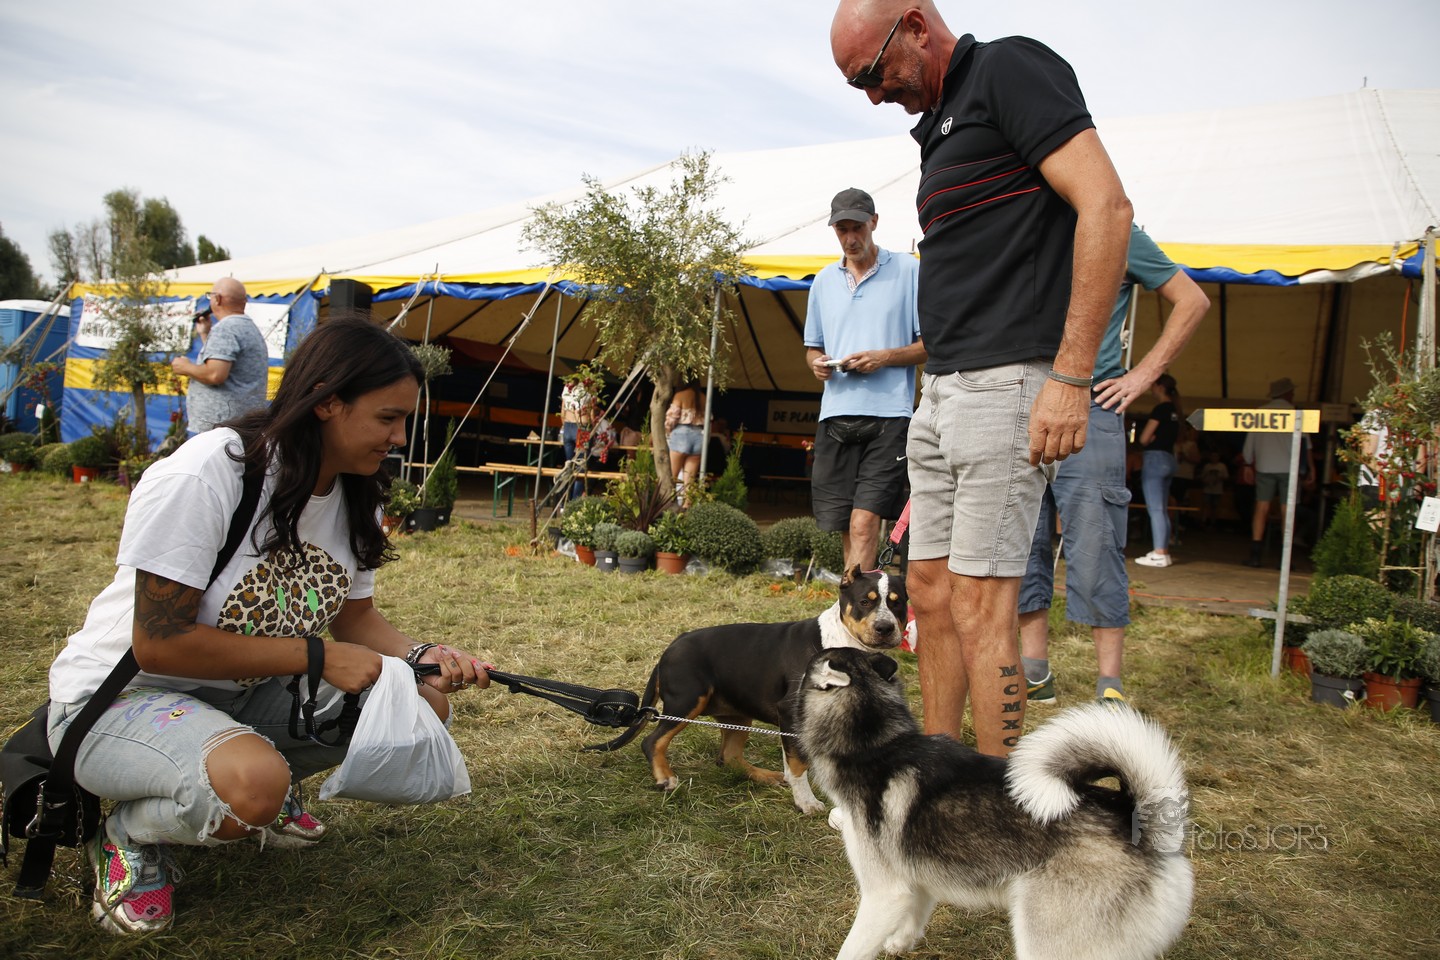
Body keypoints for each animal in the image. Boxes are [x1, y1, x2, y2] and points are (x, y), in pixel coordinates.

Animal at [592, 566, 906, 813]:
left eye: (898, 603)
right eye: (865, 601)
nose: (885, 628)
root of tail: (669, 649)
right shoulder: (789, 712)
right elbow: (798, 763)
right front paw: (806, 802)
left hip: (738, 715)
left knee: (728, 757)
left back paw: (766, 776)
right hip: (687, 701)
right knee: (653, 741)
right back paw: (665, 778)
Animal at [798, 647, 1193, 960]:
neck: (877, 746)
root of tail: (1137, 820)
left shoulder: (883, 894)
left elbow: (852, 949)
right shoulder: (915, 881)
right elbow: (914, 917)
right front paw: (899, 944)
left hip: (1044, 940)